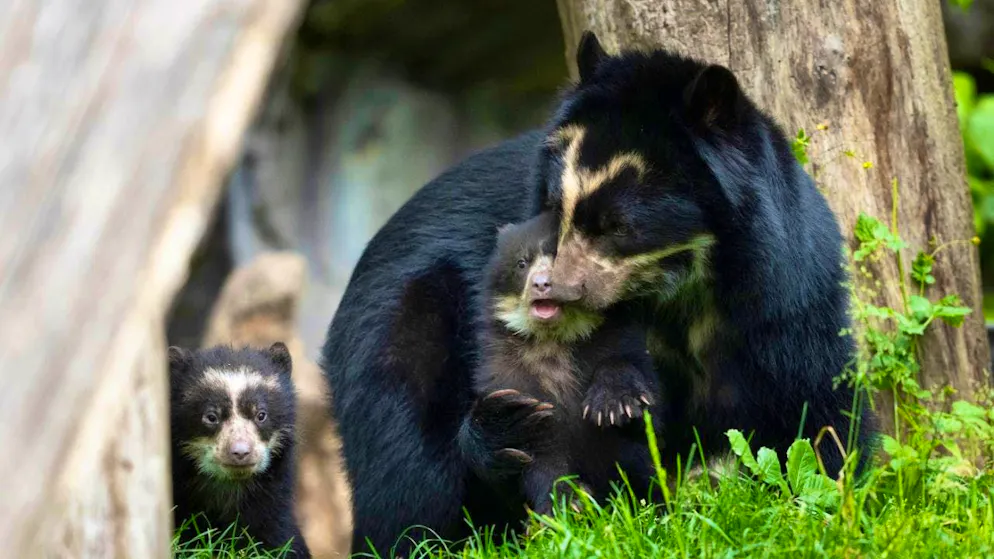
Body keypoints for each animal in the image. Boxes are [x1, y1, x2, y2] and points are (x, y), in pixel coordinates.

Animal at [321, 31, 875, 556]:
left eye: (617, 225)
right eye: (552, 208)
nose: (552, 288)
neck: (681, 293)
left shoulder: (787, 300)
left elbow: (819, 409)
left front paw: (832, 505)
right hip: (401, 330)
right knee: (406, 474)